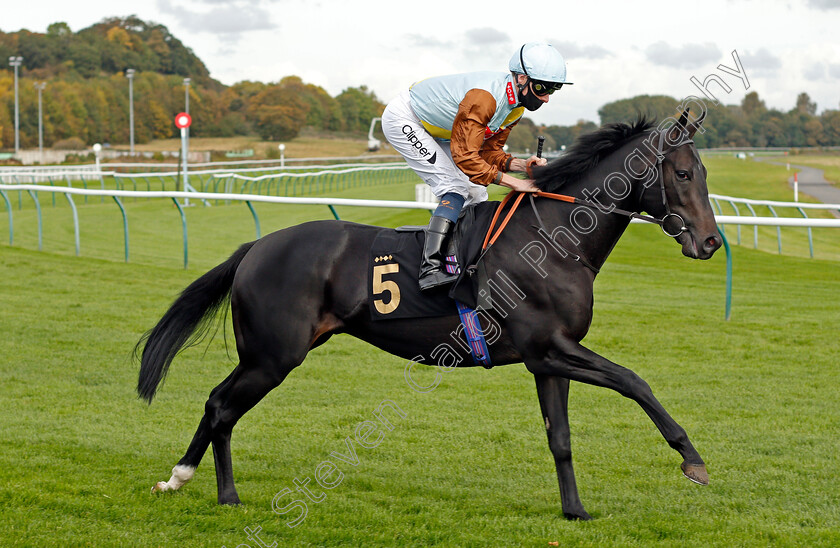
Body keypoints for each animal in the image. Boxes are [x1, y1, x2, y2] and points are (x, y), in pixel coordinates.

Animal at [136, 109, 720, 520]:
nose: (711, 242)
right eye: (683, 172)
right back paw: (209, 488)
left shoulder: (548, 359)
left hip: (265, 353)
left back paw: (195, 484)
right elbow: (635, 380)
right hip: (273, 355)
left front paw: (574, 510)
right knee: (221, 407)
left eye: (704, 172)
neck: (555, 241)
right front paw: (692, 459)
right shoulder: (550, 348)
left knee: (219, 404)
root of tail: (256, 247)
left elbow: (561, 438)